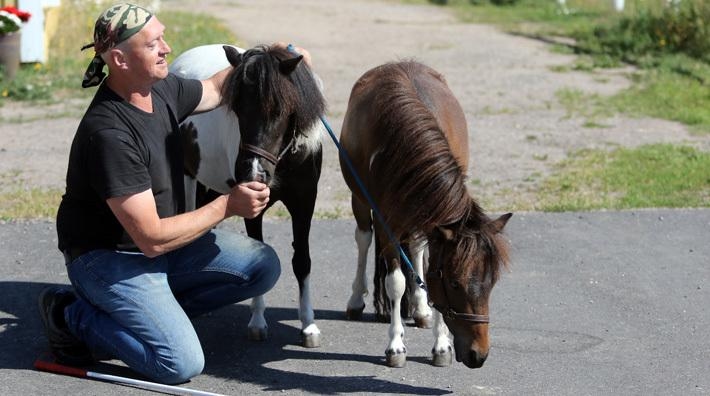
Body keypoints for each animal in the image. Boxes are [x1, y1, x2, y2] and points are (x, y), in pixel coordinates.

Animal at [172, 44, 328, 346]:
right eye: (236, 108)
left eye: (279, 110)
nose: (253, 172)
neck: (284, 160)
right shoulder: (252, 205)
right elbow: (260, 250)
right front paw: (257, 321)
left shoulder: (305, 202)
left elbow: (302, 261)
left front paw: (309, 325)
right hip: (187, 178)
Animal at [340, 60, 512, 370]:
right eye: (455, 283)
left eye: (491, 283)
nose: (478, 354)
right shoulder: (386, 223)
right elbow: (395, 282)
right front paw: (396, 345)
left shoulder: (435, 225)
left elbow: (429, 270)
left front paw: (441, 344)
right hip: (359, 199)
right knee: (363, 239)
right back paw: (356, 300)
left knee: (416, 248)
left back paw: (420, 308)